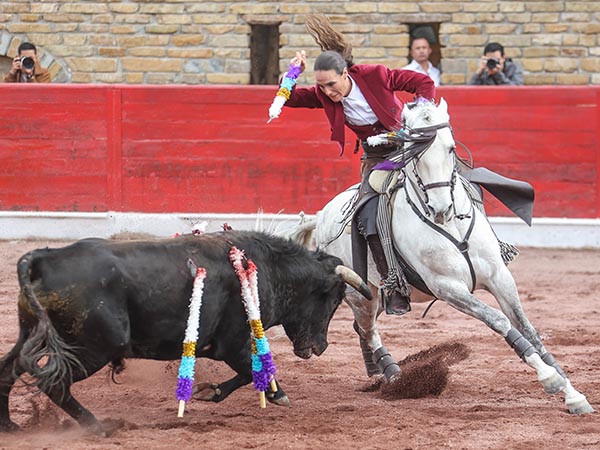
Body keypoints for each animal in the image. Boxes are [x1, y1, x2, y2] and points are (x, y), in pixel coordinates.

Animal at [0, 230, 370, 434]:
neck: (268, 269)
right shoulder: (231, 343)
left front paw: (211, 392)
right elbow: (252, 371)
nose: (320, 347)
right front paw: (277, 394)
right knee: (54, 383)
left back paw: (11, 426)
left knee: (8, 370)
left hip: (34, 335)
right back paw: (98, 427)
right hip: (95, 346)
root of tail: (45, 258)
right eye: (334, 299)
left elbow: (248, 373)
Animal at [290, 98, 592, 414]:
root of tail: (322, 215)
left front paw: (572, 393)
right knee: (368, 330)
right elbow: (500, 321)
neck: (451, 225)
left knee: (361, 328)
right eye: (414, 153)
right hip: (360, 294)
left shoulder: (499, 276)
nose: (440, 208)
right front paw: (549, 378)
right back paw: (394, 376)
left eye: (450, 148)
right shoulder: (447, 287)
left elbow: (527, 328)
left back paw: (377, 374)